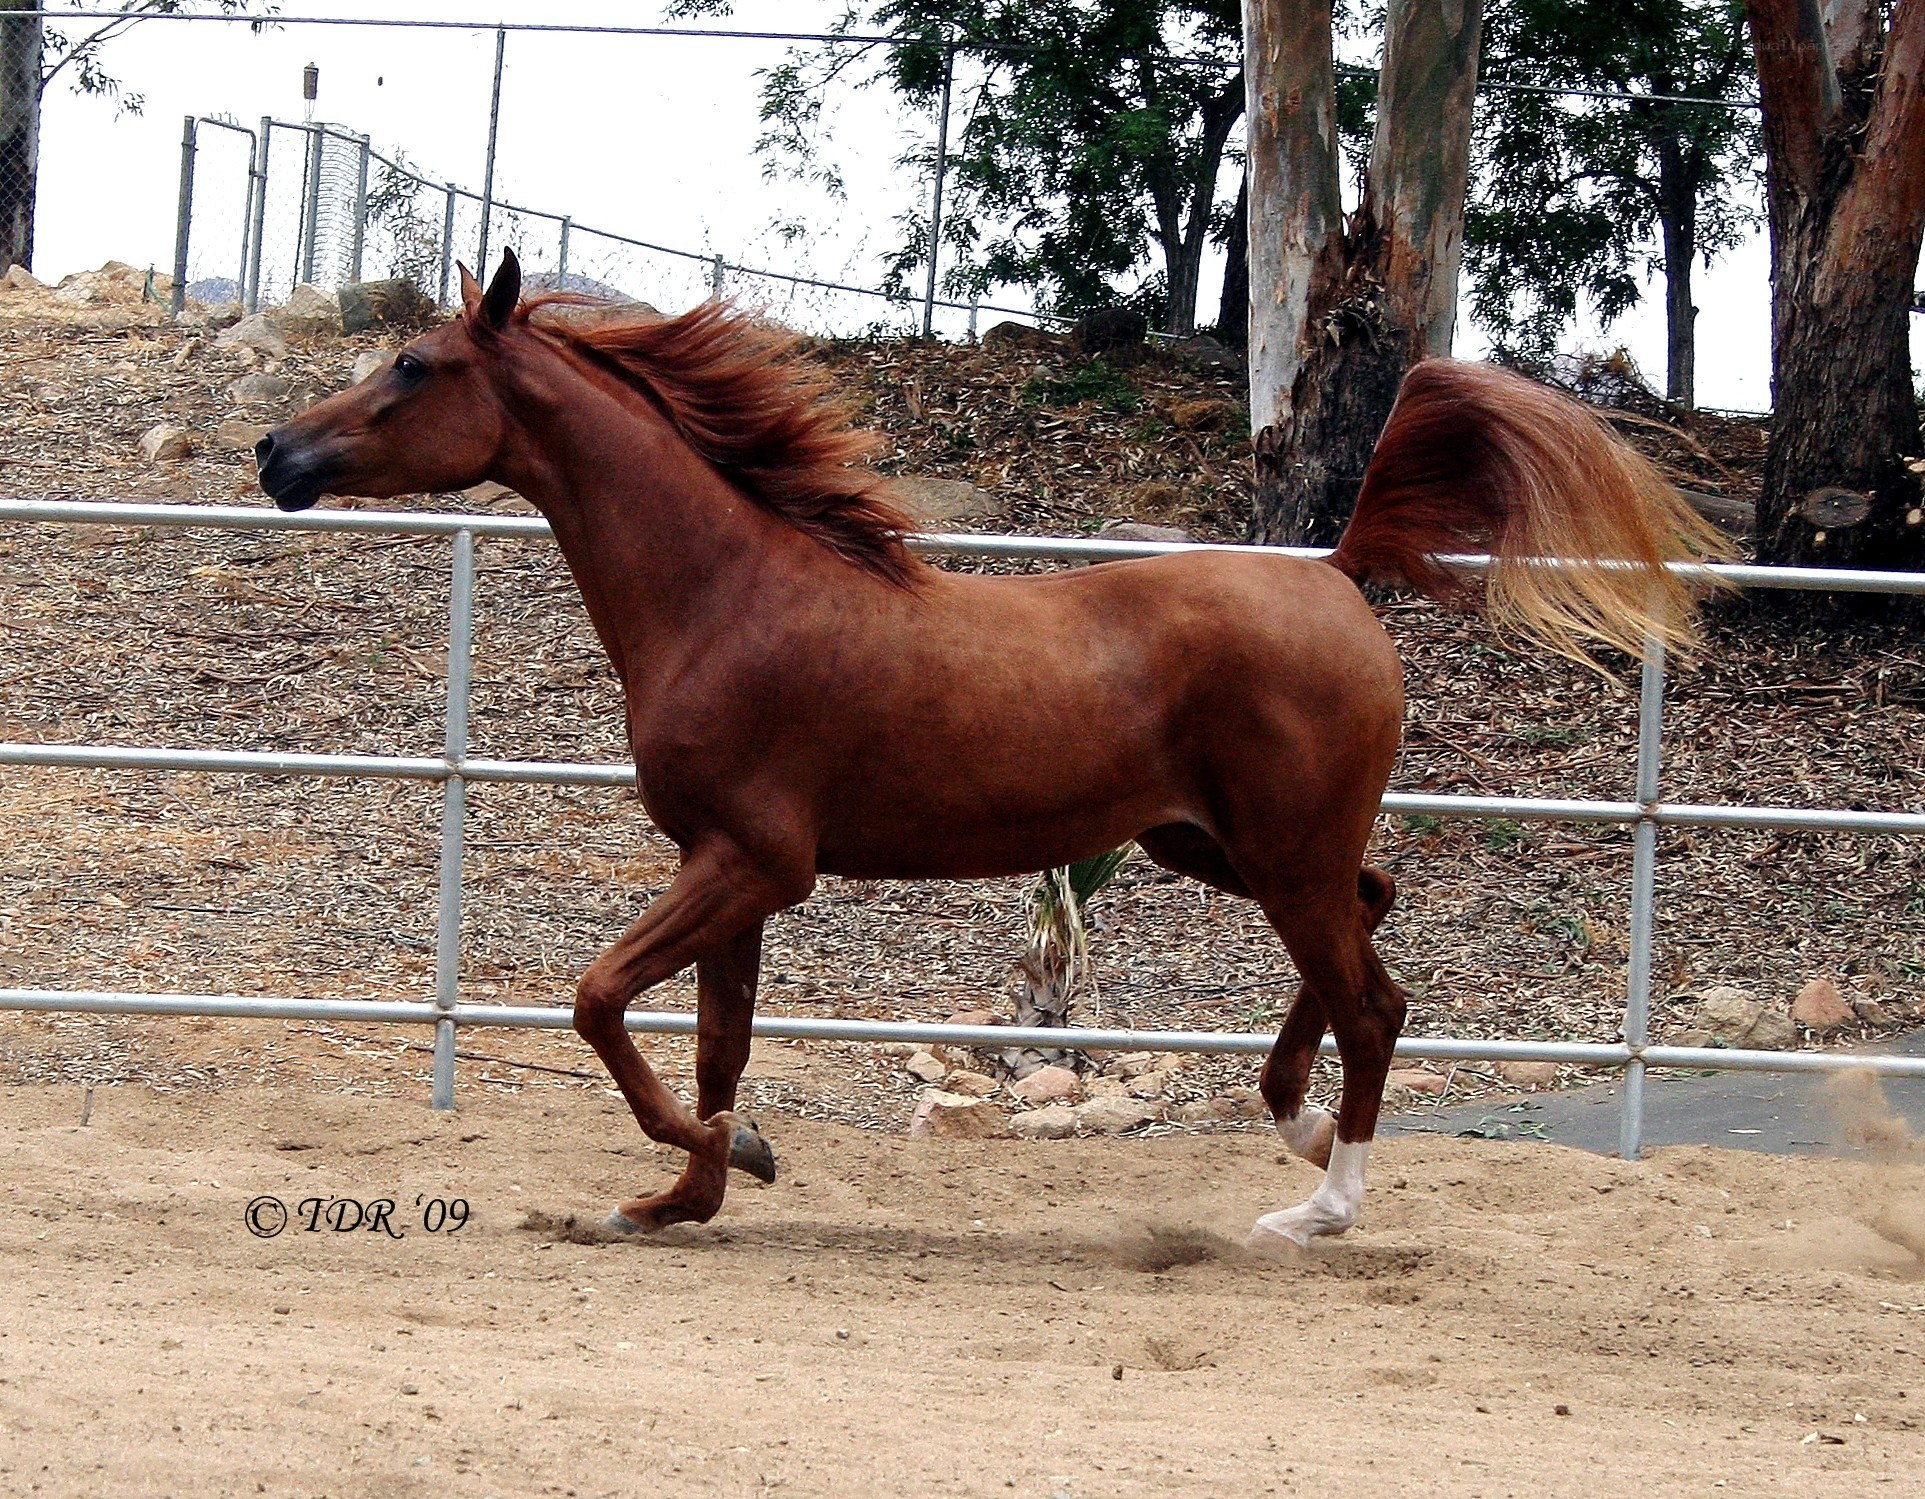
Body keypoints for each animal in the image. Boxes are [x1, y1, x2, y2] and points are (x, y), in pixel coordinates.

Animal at [255, 249, 1721, 1247]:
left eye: (415, 367)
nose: (277, 453)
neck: (728, 592)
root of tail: (1337, 569)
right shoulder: (726, 871)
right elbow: (715, 1042)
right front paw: (689, 1188)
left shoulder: (752, 862)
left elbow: (599, 997)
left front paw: (727, 1160)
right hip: (1219, 846)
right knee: (1376, 924)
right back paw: (1294, 1122)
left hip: (1275, 852)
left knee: (1371, 995)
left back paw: (1320, 1206)